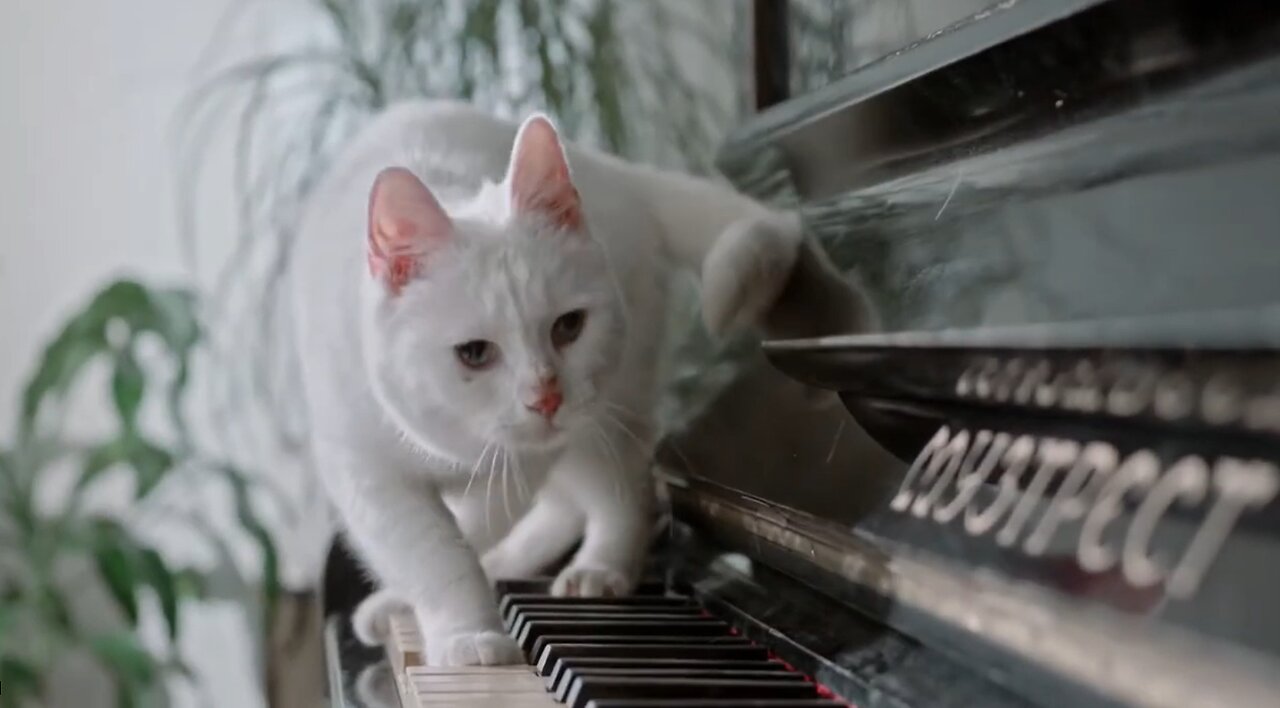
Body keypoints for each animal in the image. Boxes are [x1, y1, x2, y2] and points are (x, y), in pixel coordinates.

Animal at [293, 99, 860, 660]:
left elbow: (463, 535)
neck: (451, 447)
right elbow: (435, 551)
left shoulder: (520, 461)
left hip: (609, 408)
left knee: (620, 490)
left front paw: (461, 625)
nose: (546, 397)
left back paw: (599, 568)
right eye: (474, 354)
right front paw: (461, 627)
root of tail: (608, 168)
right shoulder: (366, 474)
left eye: (568, 326)